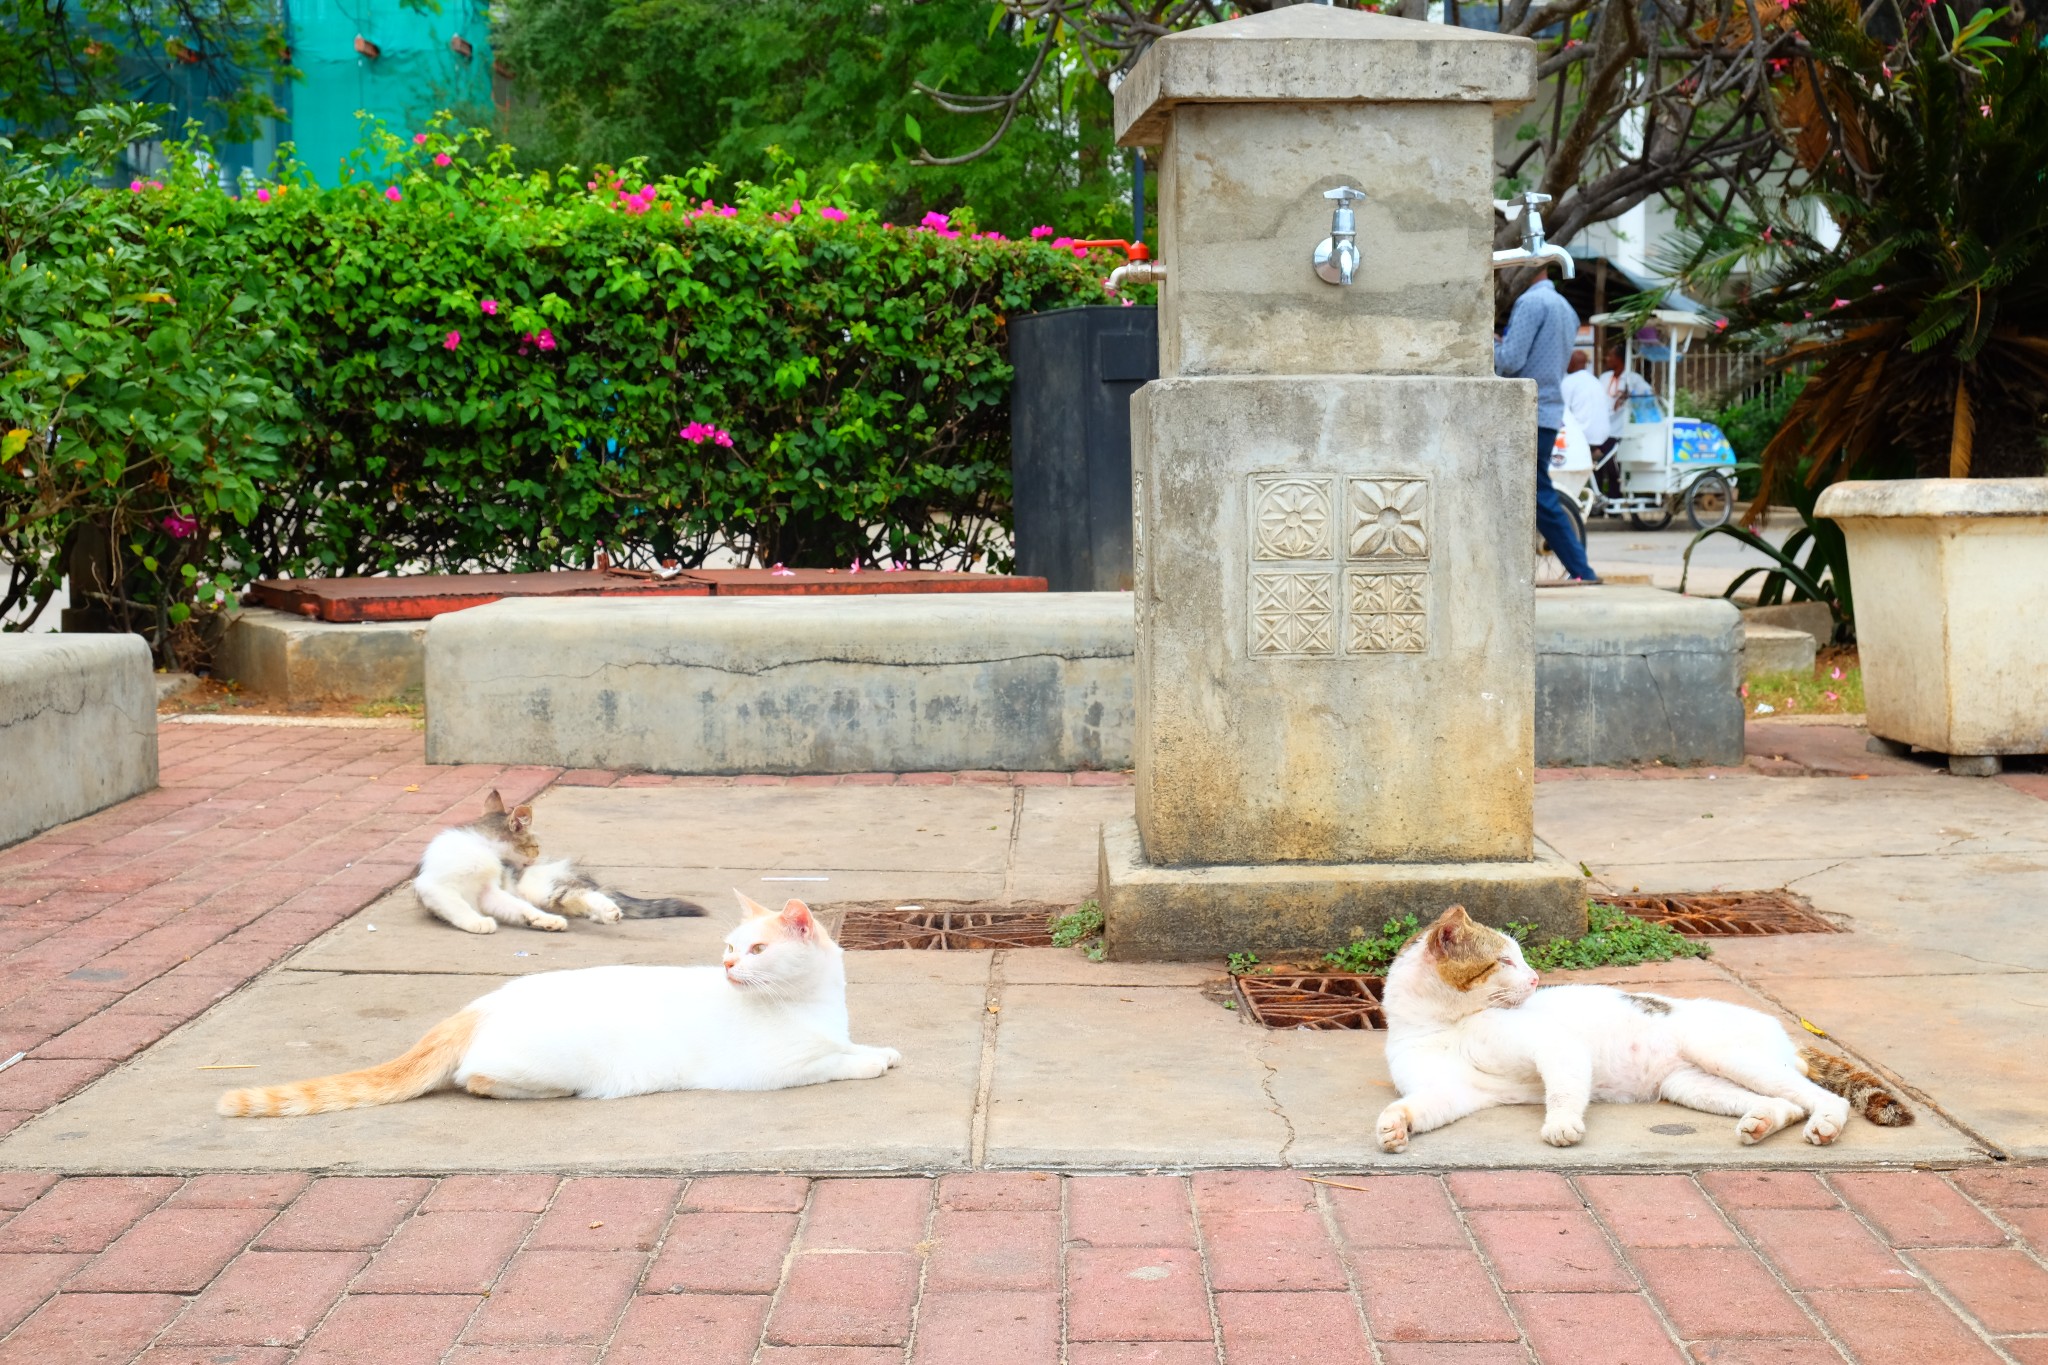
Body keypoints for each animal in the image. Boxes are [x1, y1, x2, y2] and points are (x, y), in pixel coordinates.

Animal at [220, 892, 901, 1113]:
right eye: (733, 948)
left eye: (752, 949)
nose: (729, 966)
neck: (813, 1003)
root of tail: (481, 1004)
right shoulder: (771, 1070)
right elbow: (835, 1061)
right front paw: (870, 1060)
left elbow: (847, 1044)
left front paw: (879, 1048)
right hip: (550, 1063)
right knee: (478, 1079)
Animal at [411, 789, 708, 941]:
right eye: (535, 846)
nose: (537, 855)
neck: (481, 847)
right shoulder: (435, 887)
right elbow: (459, 905)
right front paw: (477, 922)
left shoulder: (490, 891)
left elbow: (516, 906)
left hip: (541, 887)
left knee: (582, 894)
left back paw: (604, 912)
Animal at [1368, 908, 1908, 1154]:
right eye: (1504, 961)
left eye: (1520, 959)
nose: (1537, 979)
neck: (1443, 1025)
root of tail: (1785, 1034)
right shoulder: (1452, 1092)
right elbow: (1419, 1106)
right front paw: (1395, 1125)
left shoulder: (1557, 1047)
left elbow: (1562, 1091)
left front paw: (1561, 1124)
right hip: (1692, 1084)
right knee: (1786, 1102)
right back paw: (1760, 1124)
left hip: (1720, 1053)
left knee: (1823, 1098)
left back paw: (1826, 1125)